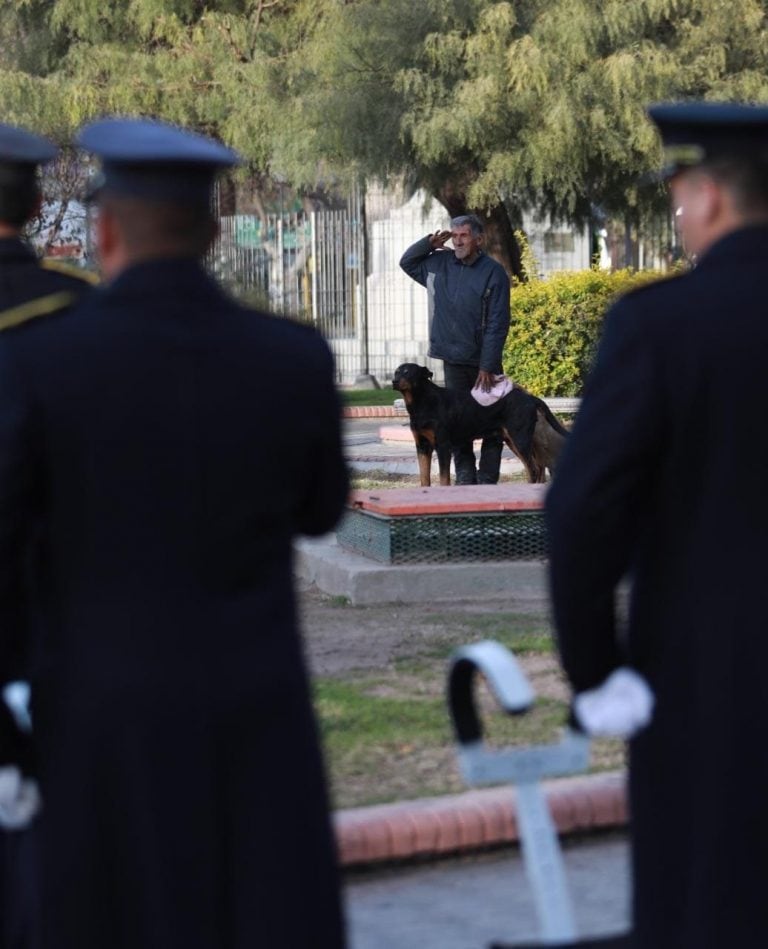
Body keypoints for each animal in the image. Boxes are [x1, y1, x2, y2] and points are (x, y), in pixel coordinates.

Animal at [392, 362, 568, 486]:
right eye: (396, 371)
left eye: (408, 372)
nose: (393, 381)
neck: (421, 402)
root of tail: (530, 397)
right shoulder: (422, 446)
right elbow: (424, 478)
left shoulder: (442, 445)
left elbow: (443, 478)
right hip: (514, 440)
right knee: (537, 467)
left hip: (520, 438)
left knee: (534, 468)